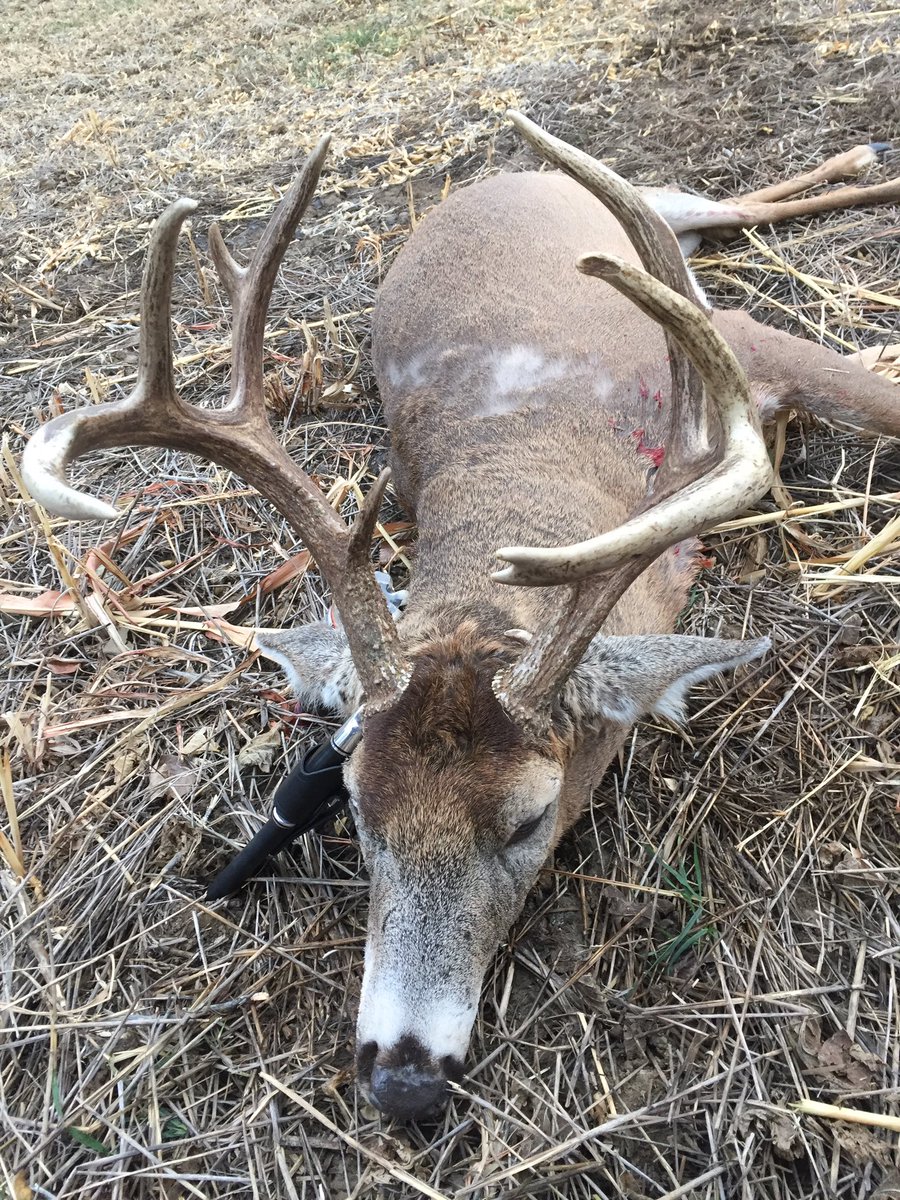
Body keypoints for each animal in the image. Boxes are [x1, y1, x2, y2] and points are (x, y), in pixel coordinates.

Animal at [22, 113, 900, 1121]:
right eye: (358, 810)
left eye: (529, 820)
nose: (401, 1078)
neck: (531, 473)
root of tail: (479, 186)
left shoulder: (755, 344)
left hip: (678, 236)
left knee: (740, 206)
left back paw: (863, 162)